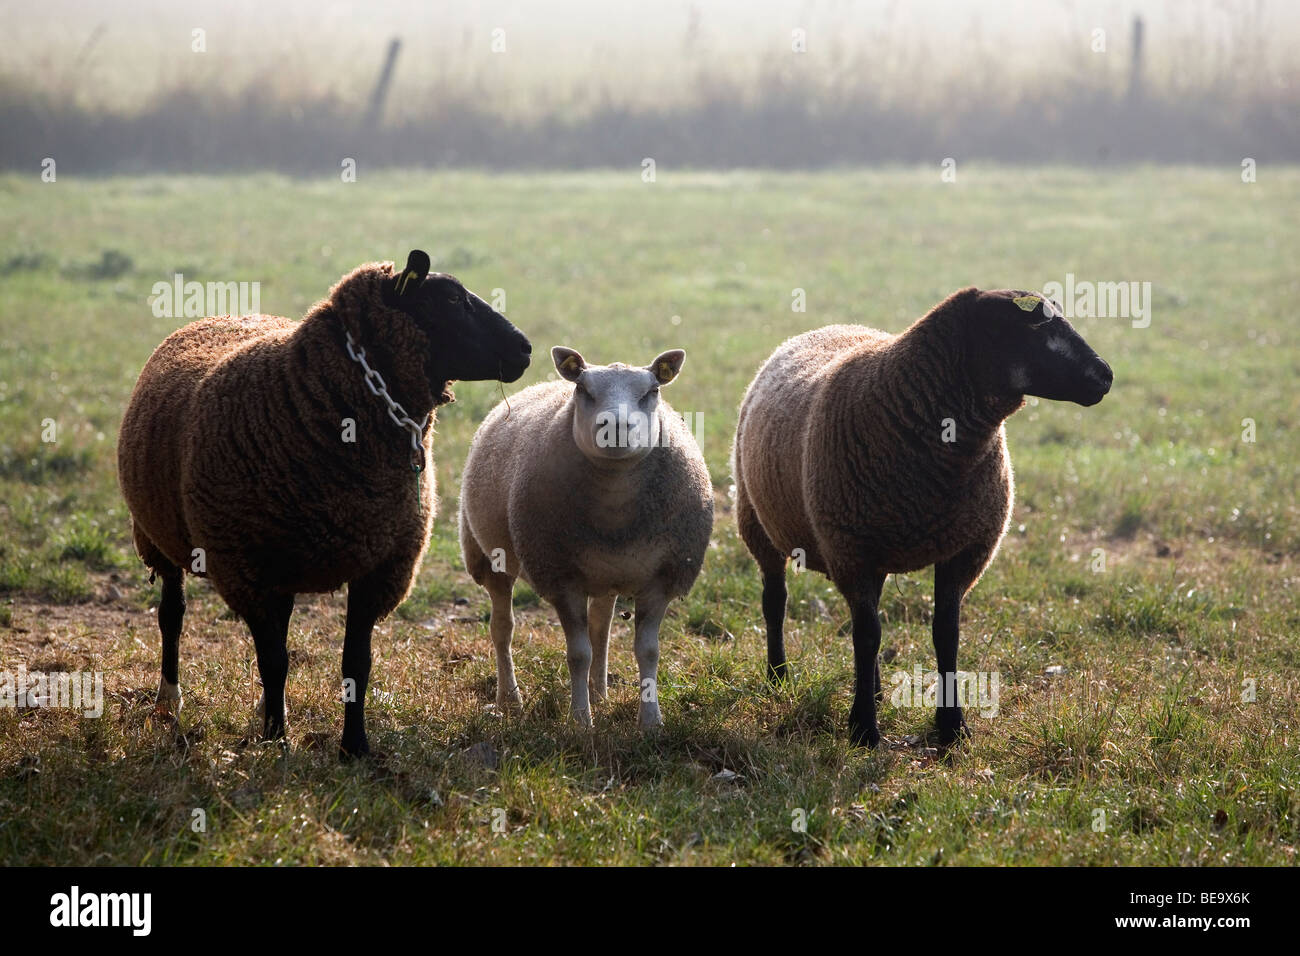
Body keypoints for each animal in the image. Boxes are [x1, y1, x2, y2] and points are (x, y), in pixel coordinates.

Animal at [118, 251, 533, 759]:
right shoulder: (246, 567)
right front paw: (277, 739)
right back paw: (168, 701)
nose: (525, 348)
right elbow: (274, 661)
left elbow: (356, 662)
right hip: (159, 536)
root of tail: (219, 316)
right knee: (172, 616)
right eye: (452, 299)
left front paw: (354, 747)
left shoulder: (381, 563)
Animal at [738, 287, 1112, 749]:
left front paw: (952, 725)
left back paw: (876, 690)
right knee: (777, 602)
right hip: (758, 522)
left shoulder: (965, 548)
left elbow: (944, 634)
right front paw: (863, 729)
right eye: (1033, 328)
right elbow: (867, 635)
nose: (1105, 376)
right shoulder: (852, 550)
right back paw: (779, 677)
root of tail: (827, 328)